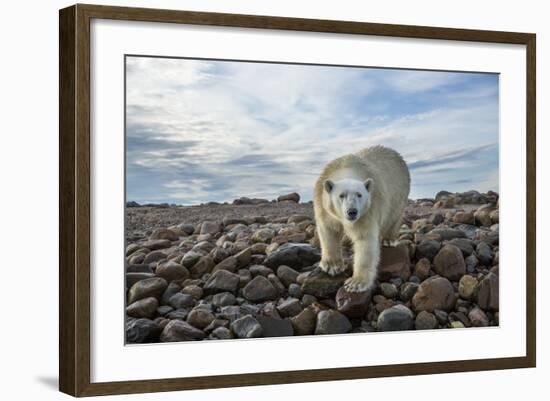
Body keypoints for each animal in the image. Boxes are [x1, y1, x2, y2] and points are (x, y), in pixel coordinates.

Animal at [314, 144, 410, 290]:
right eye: (341, 195)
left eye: (359, 194)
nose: (352, 212)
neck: (346, 166)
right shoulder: (323, 205)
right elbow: (328, 230)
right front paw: (332, 266)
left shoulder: (369, 210)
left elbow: (365, 240)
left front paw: (355, 282)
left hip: (399, 193)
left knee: (394, 216)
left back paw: (389, 239)